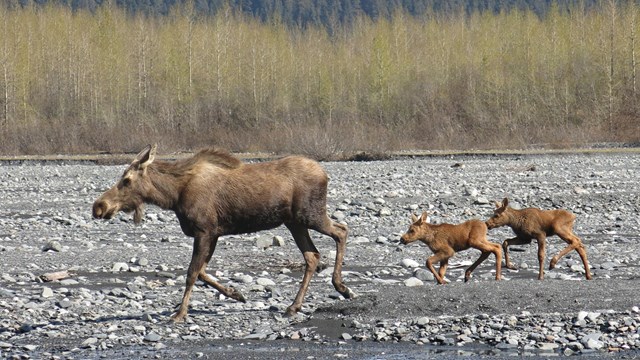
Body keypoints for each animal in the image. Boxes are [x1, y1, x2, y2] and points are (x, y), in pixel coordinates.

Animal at [91, 143, 356, 320]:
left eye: (126, 180)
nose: (99, 206)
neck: (173, 196)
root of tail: (325, 174)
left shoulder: (204, 230)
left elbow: (191, 273)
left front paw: (180, 314)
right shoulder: (214, 233)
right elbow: (202, 272)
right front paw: (236, 293)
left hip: (310, 215)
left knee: (341, 230)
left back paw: (342, 287)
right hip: (295, 223)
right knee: (312, 255)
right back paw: (295, 305)